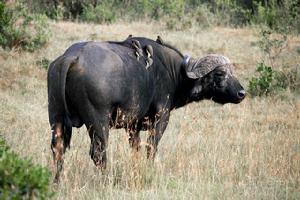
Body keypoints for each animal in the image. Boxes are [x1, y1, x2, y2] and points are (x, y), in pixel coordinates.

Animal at [47, 35, 246, 181]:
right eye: (220, 74)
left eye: (232, 71)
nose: (241, 93)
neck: (172, 71)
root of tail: (71, 57)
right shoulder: (161, 118)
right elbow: (151, 148)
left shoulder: (132, 126)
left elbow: (135, 149)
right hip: (98, 122)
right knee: (98, 152)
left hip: (56, 118)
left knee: (58, 149)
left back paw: (57, 180)